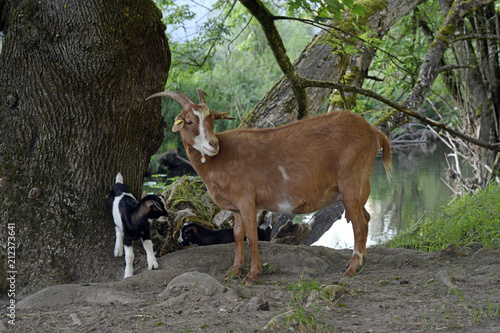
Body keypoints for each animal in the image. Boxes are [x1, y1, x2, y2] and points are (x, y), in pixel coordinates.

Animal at [146, 88, 392, 282]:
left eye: (211, 120)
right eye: (189, 121)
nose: (213, 144)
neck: (221, 159)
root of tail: (373, 132)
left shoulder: (247, 200)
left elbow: (252, 236)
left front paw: (252, 275)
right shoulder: (236, 207)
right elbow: (238, 236)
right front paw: (234, 271)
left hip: (351, 183)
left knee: (359, 224)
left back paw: (351, 269)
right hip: (357, 189)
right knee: (366, 217)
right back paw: (360, 262)